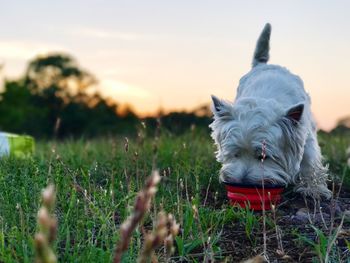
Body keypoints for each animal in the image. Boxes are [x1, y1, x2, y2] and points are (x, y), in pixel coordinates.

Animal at [211, 23, 330, 199]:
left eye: (263, 156)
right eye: (235, 154)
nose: (243, 182)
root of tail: (262, 64)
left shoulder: (305, 133)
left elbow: (309, 159)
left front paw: (313, 189)